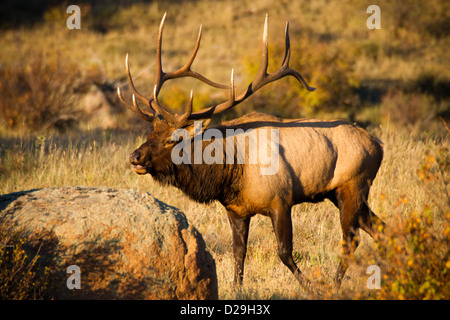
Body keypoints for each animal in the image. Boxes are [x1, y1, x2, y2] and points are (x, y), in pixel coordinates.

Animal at [116, 13, 384, 292]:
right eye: (151, 133)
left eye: (172, 139)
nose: (135, 157)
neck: (230, 172)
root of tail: (378, 145)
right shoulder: (236, 209)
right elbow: (239, 251)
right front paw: (236, 288)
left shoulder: (281, 199)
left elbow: (284, 252)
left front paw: (311, 287)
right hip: (339, 192)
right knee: (379, 228)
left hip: (353, 186)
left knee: (351, 240)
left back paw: (334, 284)